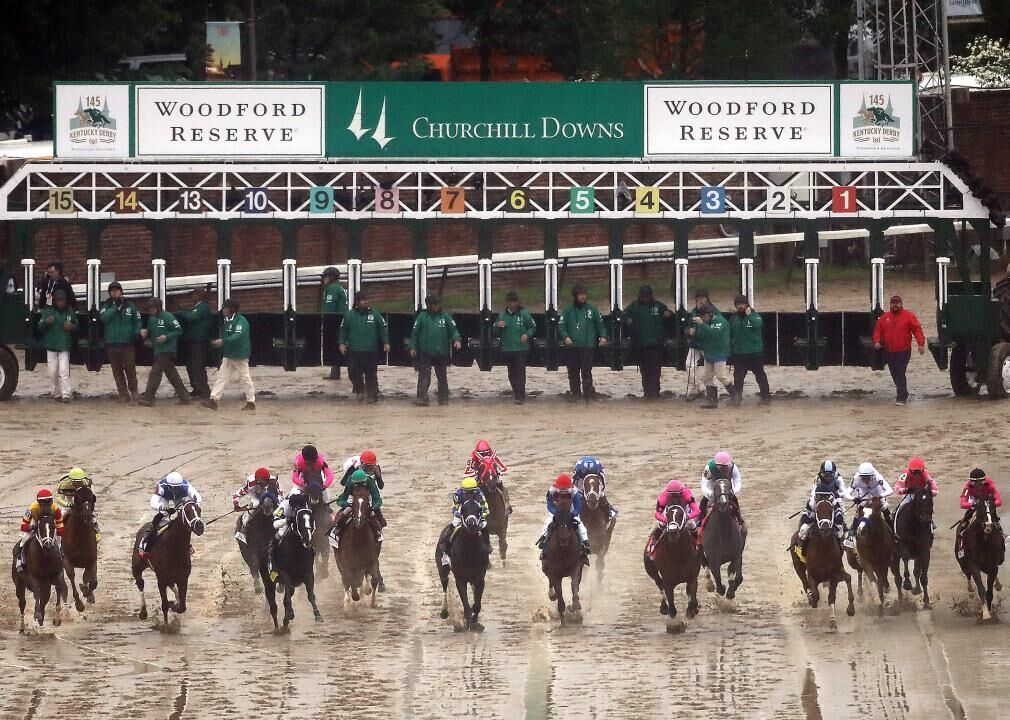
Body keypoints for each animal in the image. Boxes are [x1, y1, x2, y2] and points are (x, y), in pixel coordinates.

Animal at [59, 482, 97, 613]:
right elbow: (71, 577)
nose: (87, 516)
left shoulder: (92, 559)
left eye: (92, 498)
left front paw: (86, 593)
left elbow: (93, 582)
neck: (80, 537)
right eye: (78, 499)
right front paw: (79, 604)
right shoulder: (67, 560)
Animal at [438, 496, 488, 626]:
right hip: (442, 569)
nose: (471, 525)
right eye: (463, 510)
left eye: (479, 509)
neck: (469, 551)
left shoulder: (480, 577)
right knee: (444, 585)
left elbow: (477, 604)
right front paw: (468, 619)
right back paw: (444, 611)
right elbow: (465, 604)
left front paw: (474, 620)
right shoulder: (460, 578)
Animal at [783, 494, 856, 630]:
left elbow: (838, 589)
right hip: (798, 566)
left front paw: (845, 612)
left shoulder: (834, 574)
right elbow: (815, 594)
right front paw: (812, 600)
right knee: (804, 583)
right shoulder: (813, 575)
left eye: (831, 510)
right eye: (817, 510)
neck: (823, 550)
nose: (825, 528)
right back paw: (810, 597)